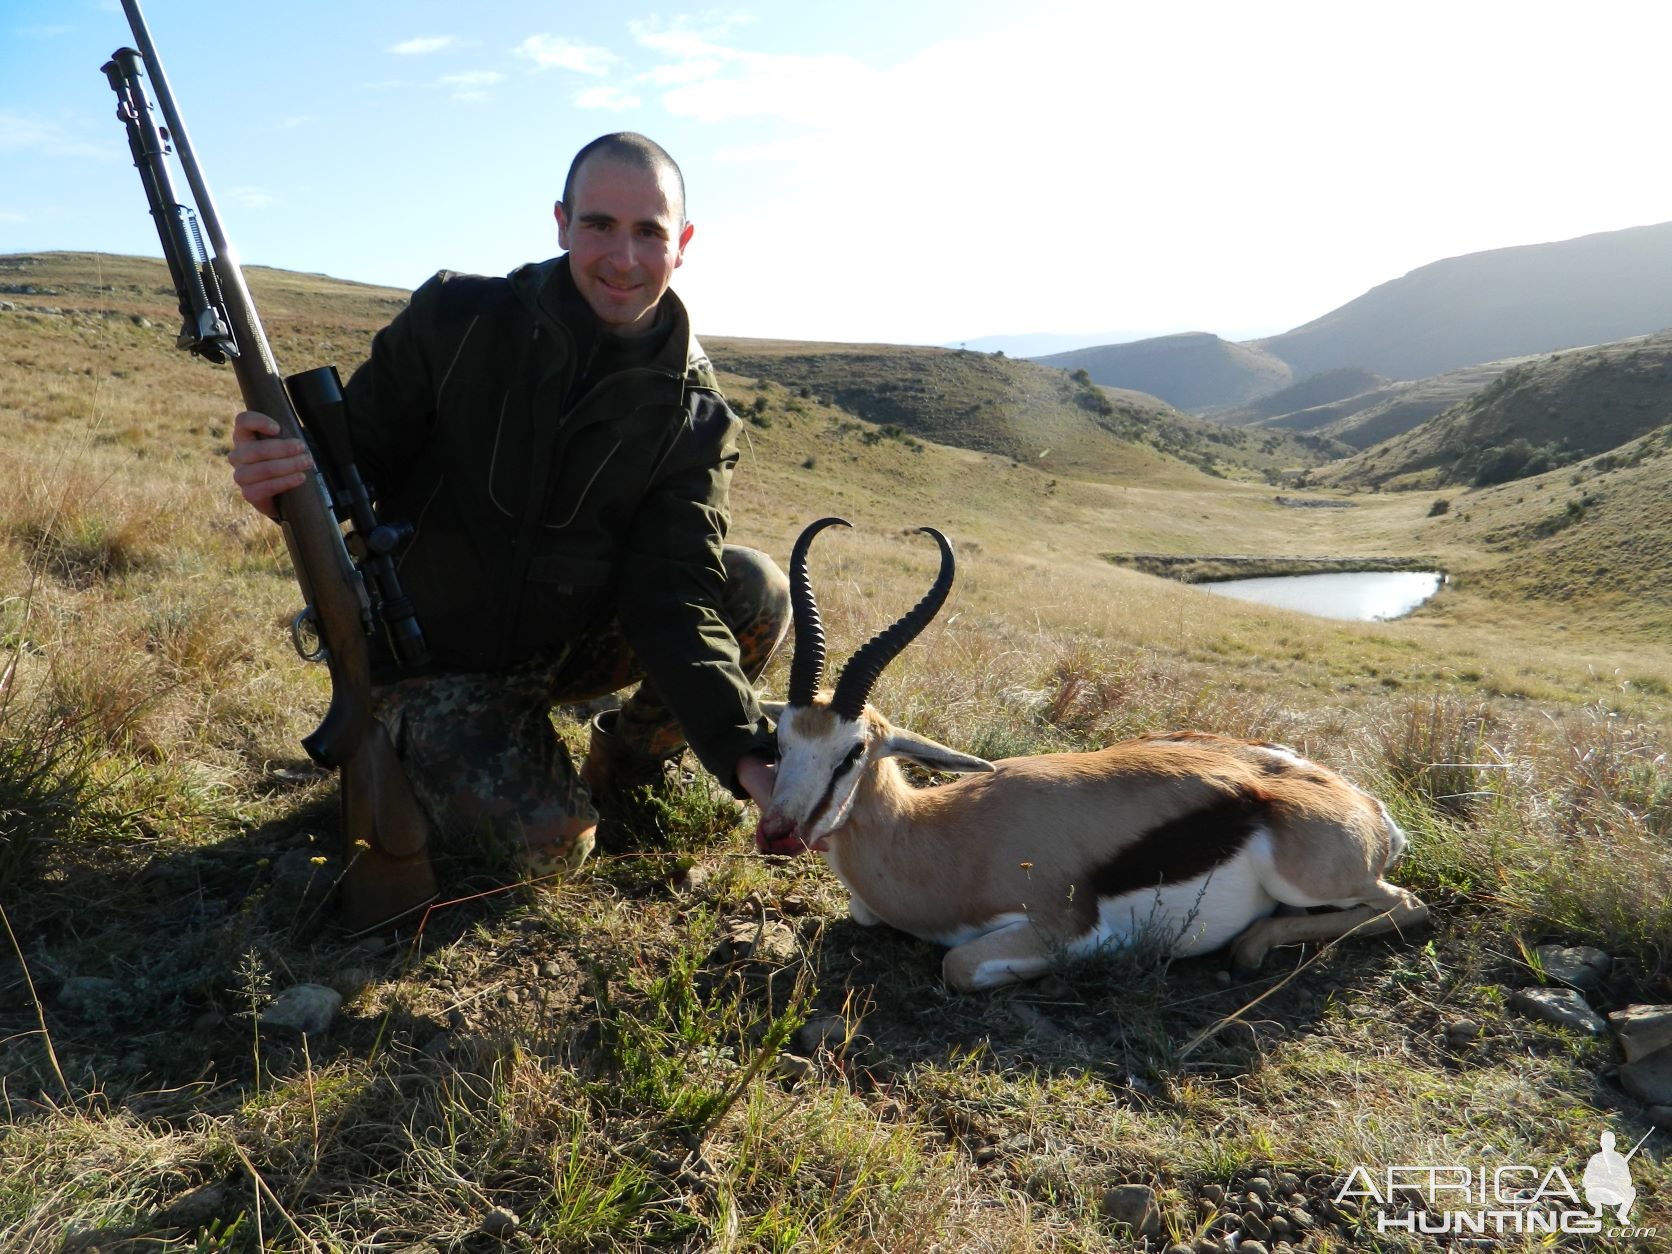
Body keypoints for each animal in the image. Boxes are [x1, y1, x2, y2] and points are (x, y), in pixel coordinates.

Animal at [759, 518, 1424, 989]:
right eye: (780, 737)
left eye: (853, 751)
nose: (777, 833)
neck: (942, 836)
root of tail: (1369, 809)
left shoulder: (1055, 927)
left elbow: (959, 965)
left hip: (1314, 881)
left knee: (1407, 906)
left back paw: (1249, 949)